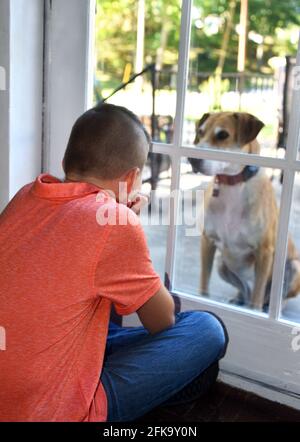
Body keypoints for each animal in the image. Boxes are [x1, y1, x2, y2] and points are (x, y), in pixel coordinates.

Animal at [189, 110, 300, 310]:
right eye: (200, 132)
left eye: (222, 135)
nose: (192, 159)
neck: (233, 185)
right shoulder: (207, 241)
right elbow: (204, 284)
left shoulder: (264, 252)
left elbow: (256, 298)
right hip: (221, 263)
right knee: (246, 290)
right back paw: (239, 298)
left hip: (294, 267)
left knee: (273, 297)